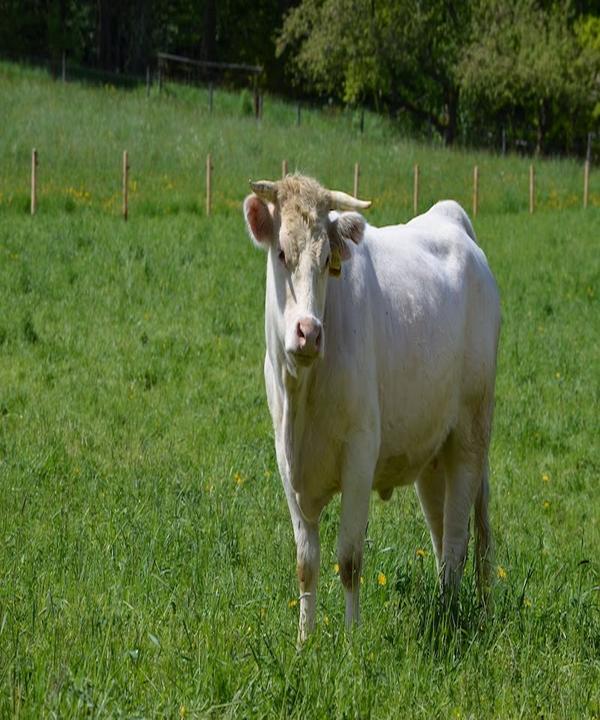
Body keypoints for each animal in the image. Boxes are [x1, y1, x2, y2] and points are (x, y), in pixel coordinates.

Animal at [241, 174, 500, 640]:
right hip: (432, 454)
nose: (309, 332)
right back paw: (445, 606)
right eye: (282, 253)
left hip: (471, 434)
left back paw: (448, 619)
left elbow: (349, 559)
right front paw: (305, 639)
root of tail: (450, 216)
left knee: (458, 539)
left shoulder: (360, 454)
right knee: (441, 537)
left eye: (328, 259)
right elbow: (306, 563)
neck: (302, 395)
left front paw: (350, 638)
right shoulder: (286, 463)